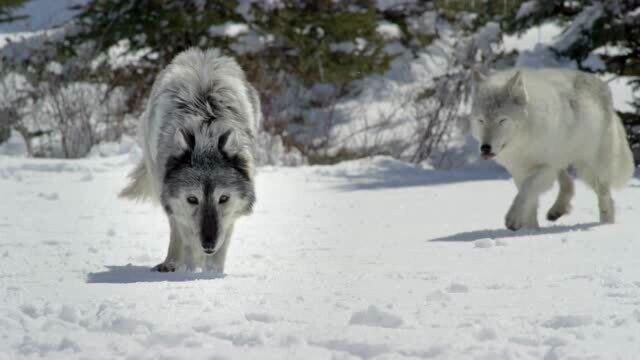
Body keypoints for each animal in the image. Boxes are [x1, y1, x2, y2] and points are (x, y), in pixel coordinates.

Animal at [120, 48, 260, 272]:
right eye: (193, 199)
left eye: (223, 198)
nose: (208, 244)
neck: (205, 131)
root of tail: (202, 53)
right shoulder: (178, 206)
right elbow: (186, 240)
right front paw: (190, 272)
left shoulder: (229, 218)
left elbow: (219, 252)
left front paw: (212, 275)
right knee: (176, 230)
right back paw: (170, 263)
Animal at [470, 68, 636, 231]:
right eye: (481, 120)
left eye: (502, 120)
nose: (485, 148)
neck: (524, 142)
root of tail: (603, 86)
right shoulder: (520, 171)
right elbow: (530, 200)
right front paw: (530, 230)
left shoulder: (546, 167)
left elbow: (526, 191)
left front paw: (513, 219)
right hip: (565, 161)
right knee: (569, 183)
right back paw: (557, 210)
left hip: (589, 167)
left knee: (605, 195)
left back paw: (606, 225)